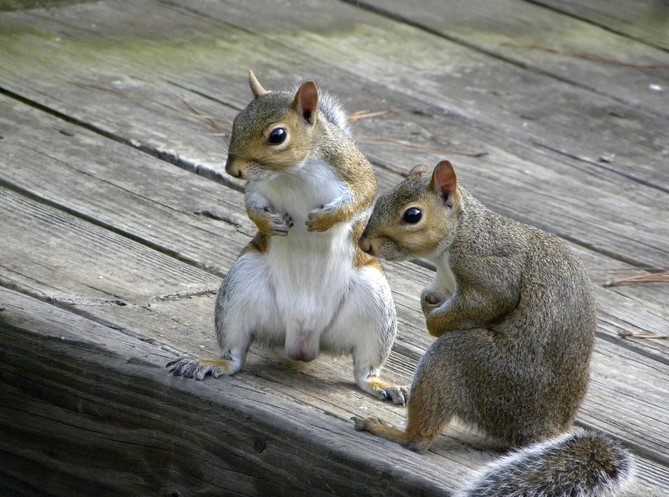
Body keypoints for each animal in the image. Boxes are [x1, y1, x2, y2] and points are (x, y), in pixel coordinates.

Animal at [167, 71, 408, 404]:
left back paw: (381, 385)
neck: (293, 173)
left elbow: (364, 194)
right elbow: (251, 204)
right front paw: (268, 222)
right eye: (237, 121)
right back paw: (211, 363)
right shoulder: (257, 187)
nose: (232, 170)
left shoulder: (353, 170)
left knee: (364, 370)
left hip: (374, 306)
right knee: (235, 353)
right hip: (239, 290)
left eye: (278, 136)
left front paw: (324, 219)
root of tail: (303, 339)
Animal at [352, 161, 636, 494]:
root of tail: (544, 428)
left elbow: (488, 302)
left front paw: (434, 323)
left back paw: (392, 432)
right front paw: (429, 301)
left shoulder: (491, 271)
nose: (364, 243)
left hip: (473, 364)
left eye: (413, 215)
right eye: (382, 199)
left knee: (420, 439)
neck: (464, 231)